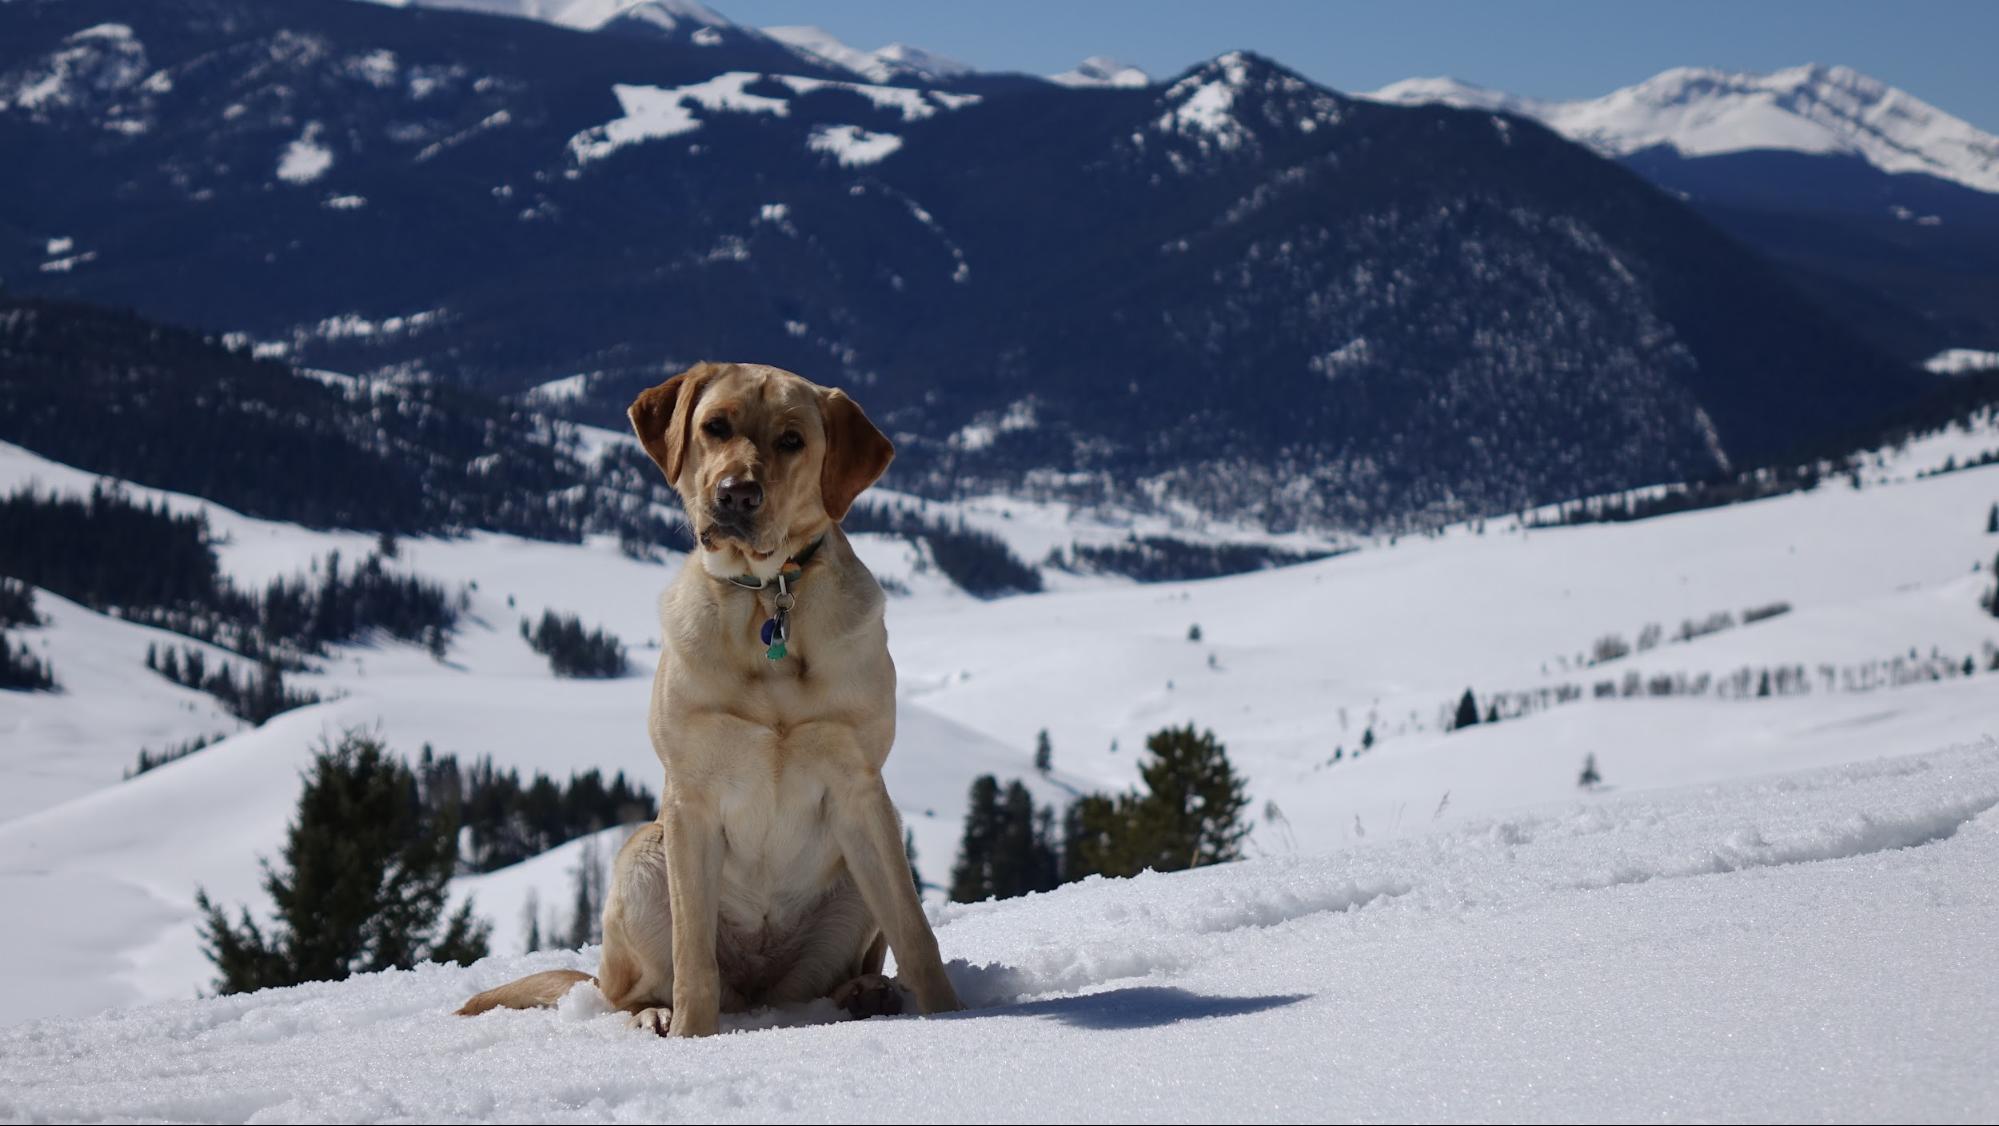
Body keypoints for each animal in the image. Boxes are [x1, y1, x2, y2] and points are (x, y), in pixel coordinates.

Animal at [467, 364, 967, 1040]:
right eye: (715, 427)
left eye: (791, 440)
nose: (736, 495)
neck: (767, 594)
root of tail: (759, 994)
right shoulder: (692, 800)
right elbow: (692, 956)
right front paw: (691, 1037)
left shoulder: (862, 788)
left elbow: (915, 932)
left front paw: (955, 1015)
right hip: (643, 855)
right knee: (631, 988)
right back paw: (654, 1013)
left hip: (862, 867)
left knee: (848, 964)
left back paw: (867, 992)